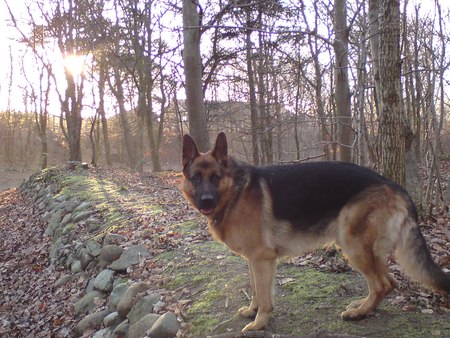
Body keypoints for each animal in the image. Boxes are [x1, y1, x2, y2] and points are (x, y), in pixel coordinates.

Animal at [181, 133, 448, 332]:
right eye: (196, 178)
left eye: (215, 177)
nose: (206, 200)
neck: (235, 192)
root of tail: (396, 187)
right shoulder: (253, 261)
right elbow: (256, 290)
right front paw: (252, 310)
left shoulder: (262, 259)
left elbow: (265, 296)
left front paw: (260, 323)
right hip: (367, 250)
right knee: (388, 282)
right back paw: (364, 307)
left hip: (353, 247)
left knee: (382, 284)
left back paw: (359, 314)